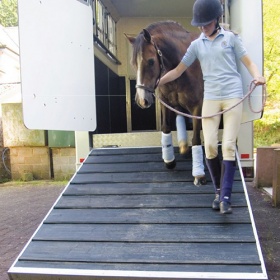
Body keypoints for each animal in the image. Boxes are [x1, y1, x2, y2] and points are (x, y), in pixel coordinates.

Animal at [126, 21, 207, 186]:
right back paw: (183, 147)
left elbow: (196, 137)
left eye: (151, 61)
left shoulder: (197, 106)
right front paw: (169, 161)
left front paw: (199, 175)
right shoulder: (166, 102)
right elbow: (166, 127)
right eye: (133, 64)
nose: (141, 100)